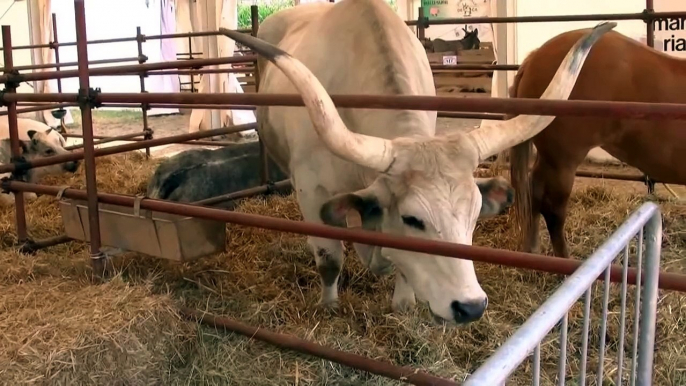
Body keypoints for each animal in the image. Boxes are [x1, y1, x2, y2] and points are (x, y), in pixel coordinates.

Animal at [222, 0, 620, 324]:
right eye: (414, 218)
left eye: (475, 215)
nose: (470, 307)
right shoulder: (311, 190)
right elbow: (330, 258)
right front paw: (329, 305)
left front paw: (402, 301)